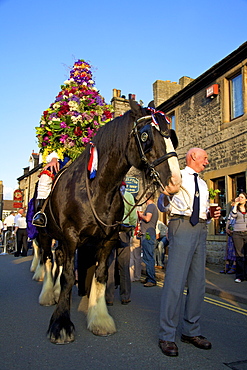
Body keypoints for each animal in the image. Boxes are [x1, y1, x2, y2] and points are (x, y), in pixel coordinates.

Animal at [34, 99, 181, 344]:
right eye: (145, 136)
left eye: (172, 136)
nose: (175, 181)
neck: (98, 189)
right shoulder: (71, 236)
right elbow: (67, 277)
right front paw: (60, 324)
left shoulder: (107, 240)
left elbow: (101, 276)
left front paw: (99, 318)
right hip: (45, 234)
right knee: (47, 259)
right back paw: (47, 294)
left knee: (58, 259)